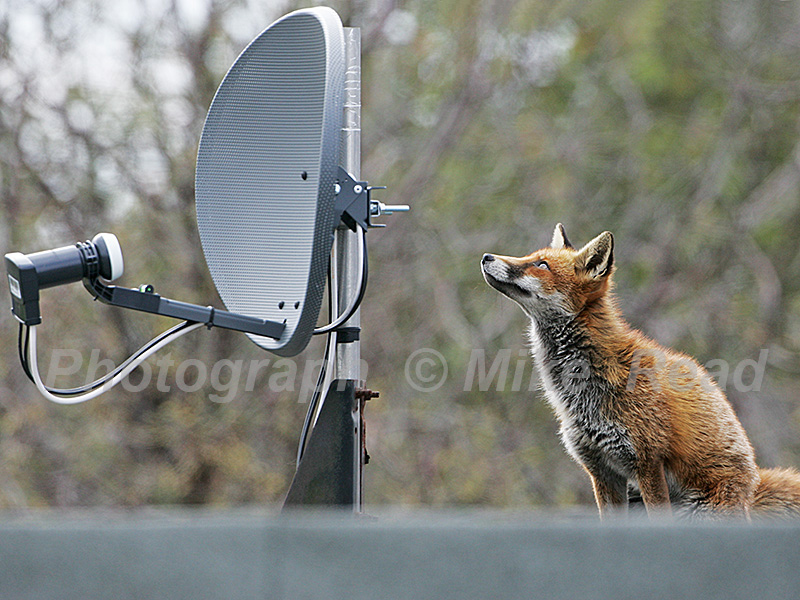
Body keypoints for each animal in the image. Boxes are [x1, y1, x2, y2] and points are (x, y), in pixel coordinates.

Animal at [481, 223, 800, 520]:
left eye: (541, 265)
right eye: (531, 257)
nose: (486, 256)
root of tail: (752, 485)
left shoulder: (648, 462)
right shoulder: (601, 469)